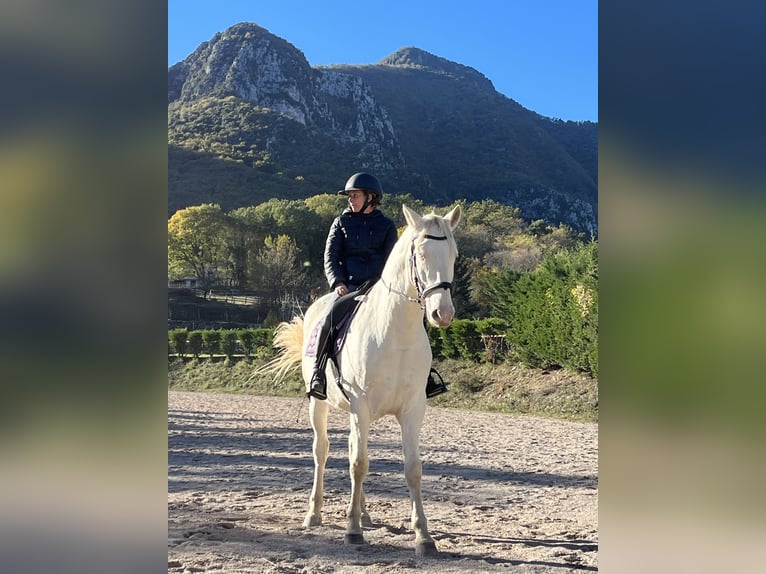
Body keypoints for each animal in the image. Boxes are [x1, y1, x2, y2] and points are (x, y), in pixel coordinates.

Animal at [266, 206, 462, 560]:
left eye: (454, 254)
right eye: (421, 254)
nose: (443, 313)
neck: (395, 331)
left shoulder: (413, 410)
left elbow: (412, 468)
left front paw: (424, 537)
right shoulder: (362, 405)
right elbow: (359, 464)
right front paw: (352, 531)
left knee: (351, 449)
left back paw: (365, 513)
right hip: (322, 405)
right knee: (323, 451)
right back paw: (315, 514)